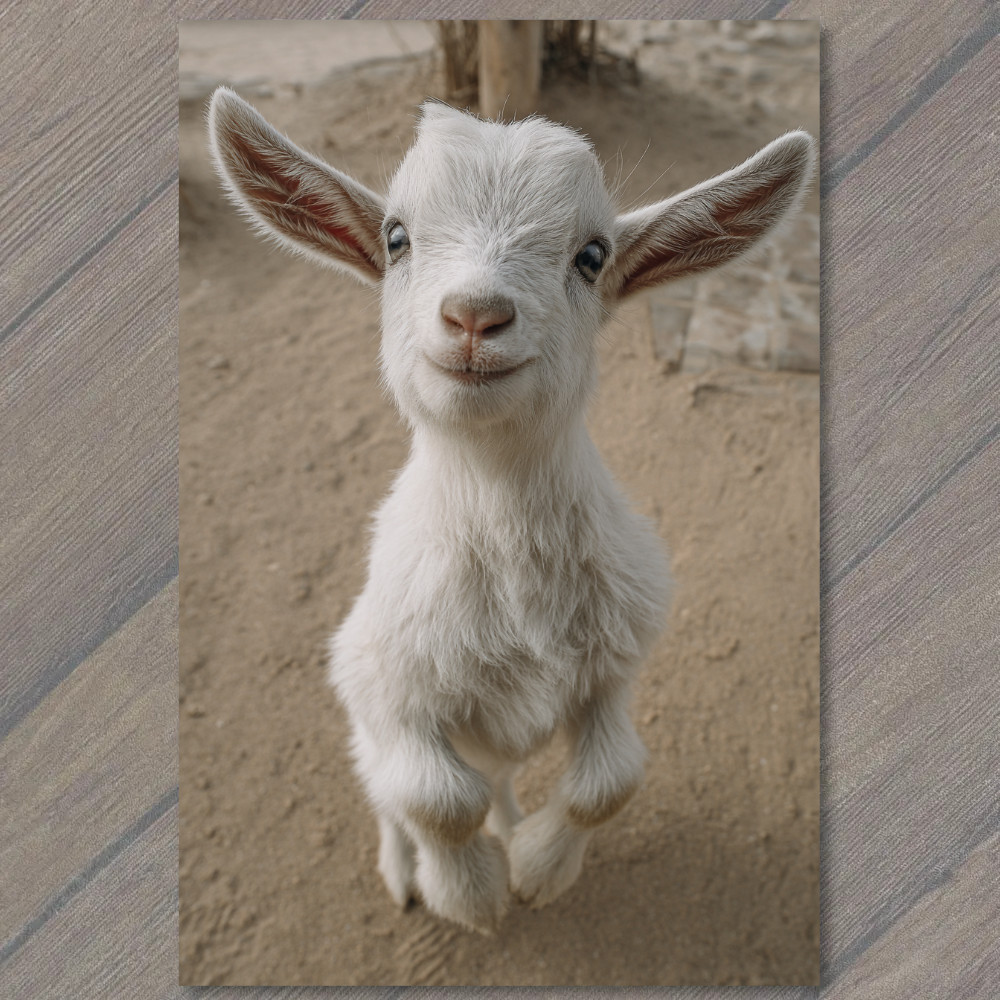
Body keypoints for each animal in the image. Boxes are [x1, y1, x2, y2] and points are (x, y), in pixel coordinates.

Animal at [208, 87, 816, 933]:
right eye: (396, 237)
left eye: (591, 256)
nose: (475, 316)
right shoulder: (382, 682)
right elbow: (434, 799)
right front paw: (468, 895)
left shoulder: (615, 665)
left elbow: (611, 781)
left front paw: (535, 871)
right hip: (366, 727)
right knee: (389, 797)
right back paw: (404, 873)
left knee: (495, 779)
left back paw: (511, 825)